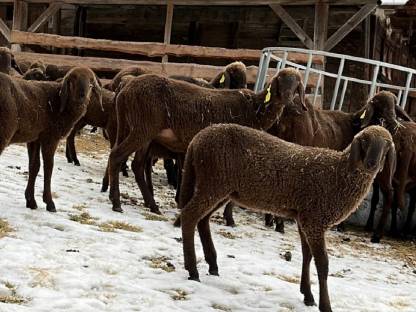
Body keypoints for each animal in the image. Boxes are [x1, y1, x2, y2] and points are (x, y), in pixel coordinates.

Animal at [0, 66, 101, 211]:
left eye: (91, 81)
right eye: (73, 79)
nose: (82, 95)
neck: (58, 103)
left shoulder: (35, 138)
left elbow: (34, 166)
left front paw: (31, 201)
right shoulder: (50, 137)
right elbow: (49, 168)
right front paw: (49, 203)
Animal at [105, 68, 304, 213]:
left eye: (296, 85)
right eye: (280, 81)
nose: (287, 99)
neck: (256, 109)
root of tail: (125, 90)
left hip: (140, 131)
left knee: (136, 165)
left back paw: (151, 205)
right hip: (142, 128)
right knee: (117, 156)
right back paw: (117, 203)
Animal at [179, 123, 394, 310]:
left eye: (387, 145)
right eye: (364, 141)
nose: (372, 164)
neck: (338, 172)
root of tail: (197, 139)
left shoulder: (304, 219)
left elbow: (307, 256)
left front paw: (308, 295)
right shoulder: (315, 220)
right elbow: (323, 264)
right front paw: (325, 305)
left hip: (222, 189)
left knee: (202, 220)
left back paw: (212, 265)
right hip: (213, 182)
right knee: (189, 216)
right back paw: (193, 271)